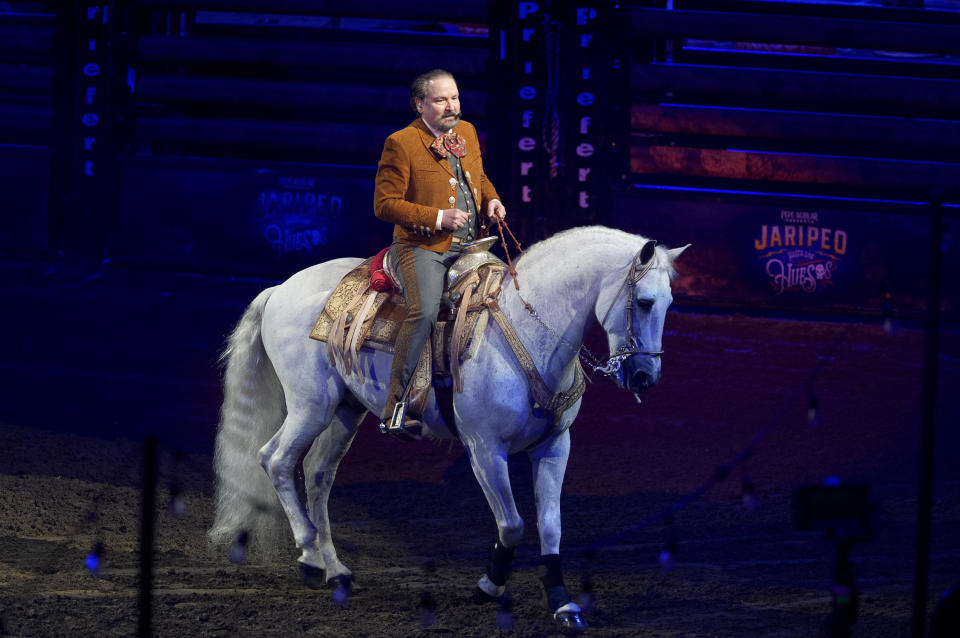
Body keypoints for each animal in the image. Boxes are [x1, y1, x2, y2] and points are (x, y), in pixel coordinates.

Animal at [211, 225, 688, 632]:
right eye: (644, 302)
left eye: (668, 303)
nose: (645, 376)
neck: (526, 329)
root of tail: (280, 289)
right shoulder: (485, 450)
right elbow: (512, 523)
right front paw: (489, 585)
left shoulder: (555, 447)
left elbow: (550, 526)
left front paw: (562, 603)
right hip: (311, 405)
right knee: (276, 459)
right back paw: (310, 557)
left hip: (345, 410)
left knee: (316, 474)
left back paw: (336, 570)